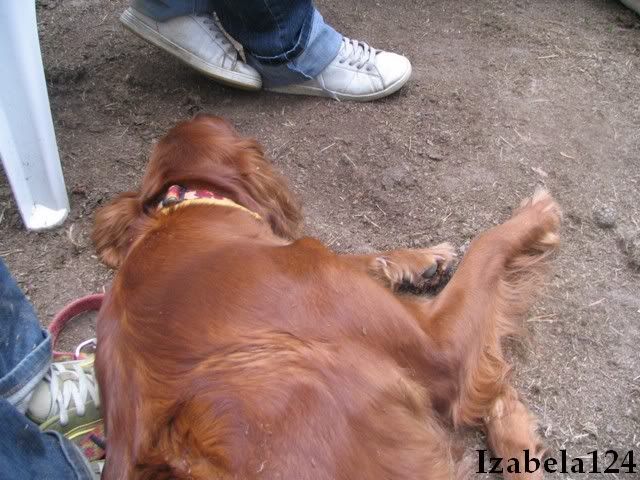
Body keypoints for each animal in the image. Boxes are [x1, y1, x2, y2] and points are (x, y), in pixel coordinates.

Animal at [93, 114, 560, 479]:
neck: (190, 209)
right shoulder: (438, 344)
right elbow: (486, 243)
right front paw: (534, 217)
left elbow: (364, 258)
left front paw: (423, 258)